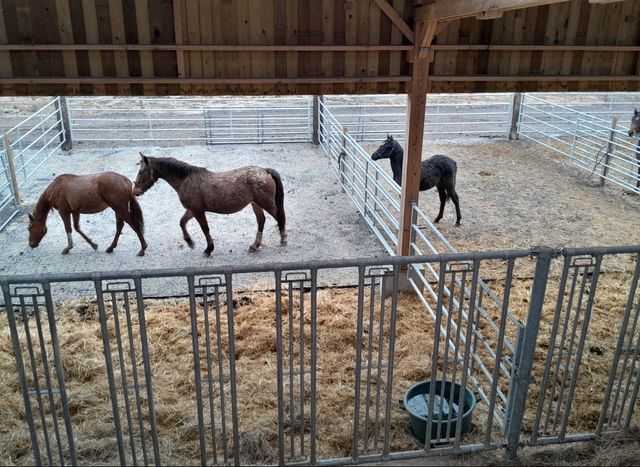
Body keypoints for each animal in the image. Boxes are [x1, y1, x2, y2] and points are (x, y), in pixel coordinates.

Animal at [133, 153, 287, 257]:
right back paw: (255, 245)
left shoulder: (198, 211)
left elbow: (205, 229)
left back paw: (283, 240)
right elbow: (182, 222)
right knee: (261, 221)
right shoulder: (192, 210)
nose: (135, 191)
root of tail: (264, 171)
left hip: (266, 204)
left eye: (141, 171)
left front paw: (209, 249)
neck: (186, 180)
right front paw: (190, 242)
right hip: (256, 204)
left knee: (280, 218)